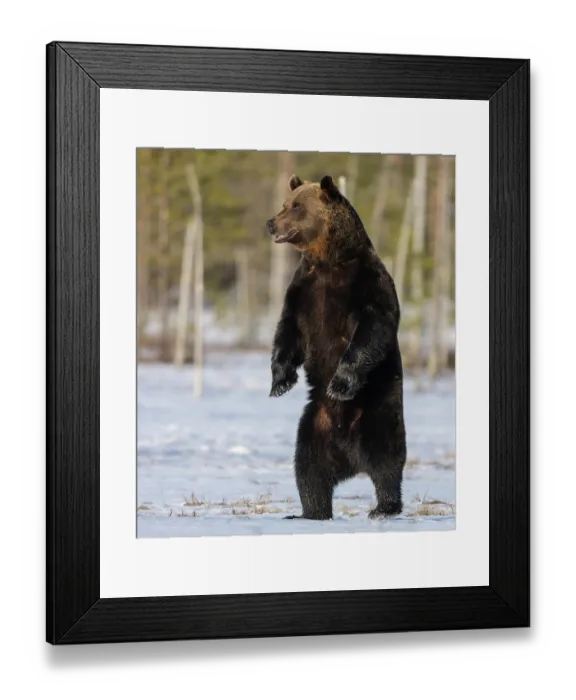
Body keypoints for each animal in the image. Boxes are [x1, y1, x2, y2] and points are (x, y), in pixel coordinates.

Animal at [266, 173, 406, 521]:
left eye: (296, 206)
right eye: (286, 204)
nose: (271, 223)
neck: (328, 259)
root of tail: (350, 459)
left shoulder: (366, 284)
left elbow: (373, 329)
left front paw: (340, 383)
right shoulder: (304, 290)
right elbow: (288, 330)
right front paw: (280, 381)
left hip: (378, 409)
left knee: (386, 460)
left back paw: (384, 507)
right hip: (314, 425)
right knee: (309, 470)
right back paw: (309, 512)